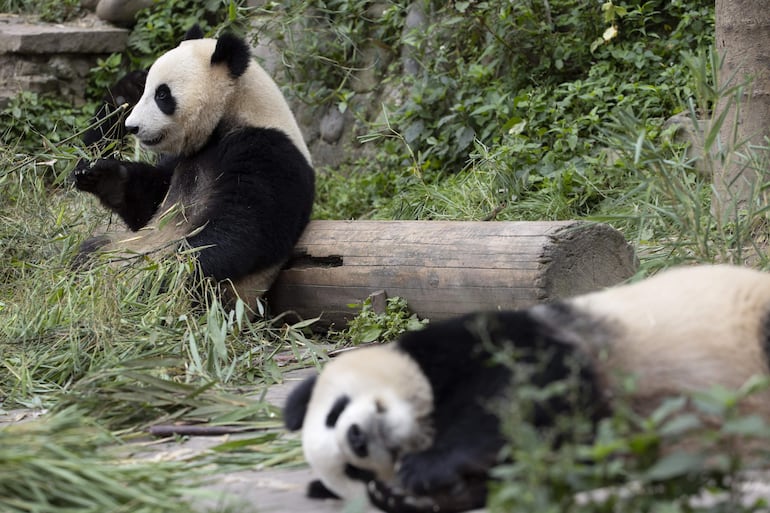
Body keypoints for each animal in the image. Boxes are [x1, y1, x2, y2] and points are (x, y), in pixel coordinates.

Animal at [72, 27, 312, 304]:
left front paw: (166, 271)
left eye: (162, 94)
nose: (132, 126)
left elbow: (241, 230)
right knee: (89, 250)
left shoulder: (269, 153)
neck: (234, 111)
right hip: (117, 245)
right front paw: (98, 173)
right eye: (146, 90)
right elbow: (148, 202)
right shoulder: (184, 158)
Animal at [284, 264, 770, 512]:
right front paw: (408, 493)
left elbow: (524, 382)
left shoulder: (478, 338)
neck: (425, 418)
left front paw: (429, 467)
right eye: (355, 473)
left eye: (336, 410)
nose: (357, 438)